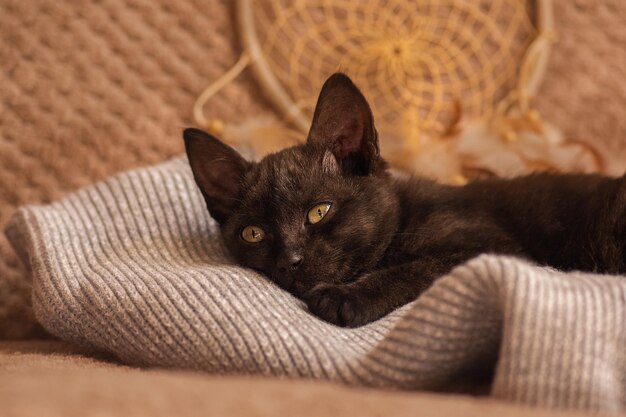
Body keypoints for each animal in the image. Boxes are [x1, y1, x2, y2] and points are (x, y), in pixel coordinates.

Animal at [183, 71, 620, 326]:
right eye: (253, 234)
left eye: (319, 211)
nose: (289, 261)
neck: (404, 221)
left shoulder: (497, 248)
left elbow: (419, 267)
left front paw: (347, 298)